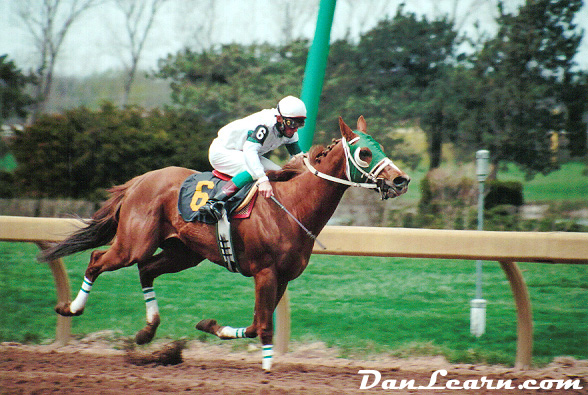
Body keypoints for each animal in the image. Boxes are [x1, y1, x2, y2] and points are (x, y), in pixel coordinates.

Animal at [41, 117, 408, 372]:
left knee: (145, 270)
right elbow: (263, 325)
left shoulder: (282, 277)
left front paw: (210, 326)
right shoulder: (265, 272)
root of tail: (139, 180)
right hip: (134, 243)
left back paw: (147, 331)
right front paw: (267, 367)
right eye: (364, 152)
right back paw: (71, 308)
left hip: (184, 253)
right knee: (98, 259)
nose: (401, 180)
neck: (291, 204)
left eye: (380, 147)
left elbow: (258, 324)